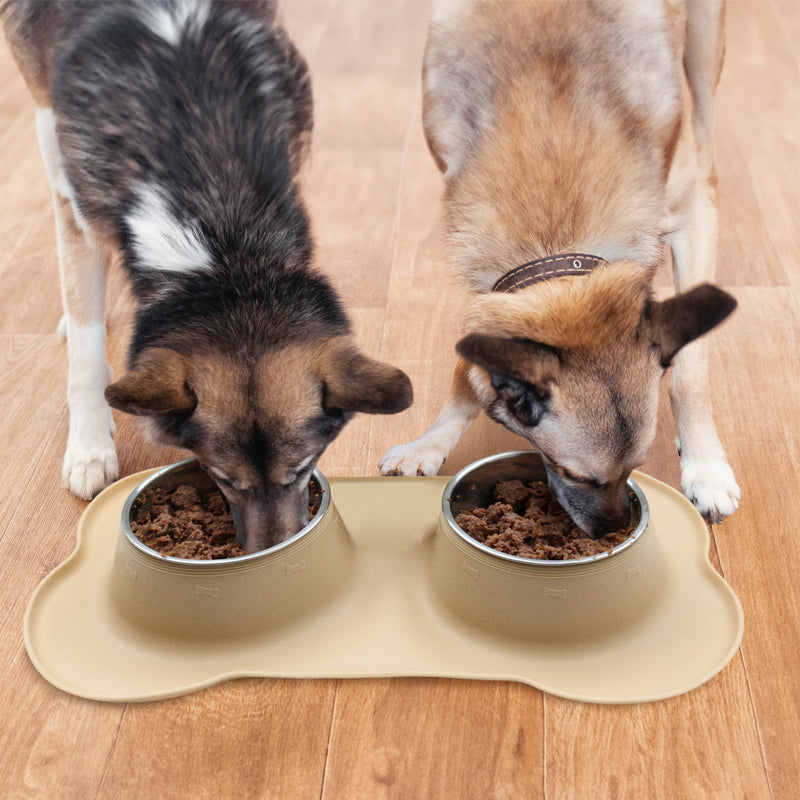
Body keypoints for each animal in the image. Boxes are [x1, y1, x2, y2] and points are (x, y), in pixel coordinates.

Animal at [6, 0, 416, 552]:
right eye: (222, 478)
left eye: (305, 468)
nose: (269, 555)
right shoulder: (82, 216)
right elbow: (87, 356)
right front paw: (90, 448)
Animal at [382, 0, 736, 536]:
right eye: (573, 475)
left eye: (636, 468)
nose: (612, 531)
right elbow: (470, 364)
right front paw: (430, 441)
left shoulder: (691, 216)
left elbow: (689, 375)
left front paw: (706, 468)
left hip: (704, 40)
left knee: (706, 132)